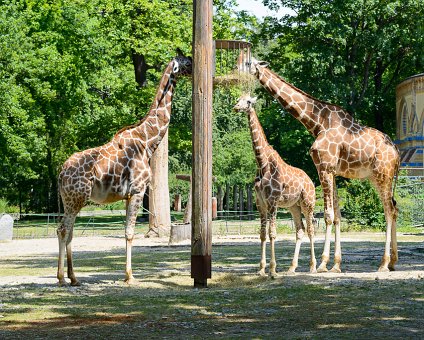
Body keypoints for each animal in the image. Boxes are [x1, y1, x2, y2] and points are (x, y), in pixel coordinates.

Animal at [56, 51, 192, 286]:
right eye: (184, 62)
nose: (193, 65)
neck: (147, 142)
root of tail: (61, 172)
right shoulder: (138, 190)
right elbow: (130, 232)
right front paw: (130, 276)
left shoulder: (128, 195)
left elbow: (126, 232)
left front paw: (127, 274)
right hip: (77, 198)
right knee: (64, 230)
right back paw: (63, 278)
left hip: (70, 200)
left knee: (66, 230)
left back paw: (72, 277)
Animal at [234, 93, 316, 276]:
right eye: (238, 99)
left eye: (248, 101)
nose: (236, 107)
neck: (262, 164)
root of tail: (311, 181)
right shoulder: (260, 203)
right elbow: (262, 234)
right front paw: (261, 269)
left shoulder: (272, 201)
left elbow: (272, 233)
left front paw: (272, 270)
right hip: (294, 206)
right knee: (300, 230)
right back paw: (292, 267)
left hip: (308, 203)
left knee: (311, 229)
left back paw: (313, 267)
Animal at [247, 57, 400, 272]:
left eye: (246, 63)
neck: (317, 122)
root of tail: (396, 152)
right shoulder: (332, 171)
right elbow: (336, 215)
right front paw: (336, 264)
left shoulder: (324, 167)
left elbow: (327, 215)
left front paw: (322, 264)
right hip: (378, 176)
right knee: (394, 207)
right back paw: (393, 261)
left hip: (382, 174)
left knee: (388, 210)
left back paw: (384, 263)